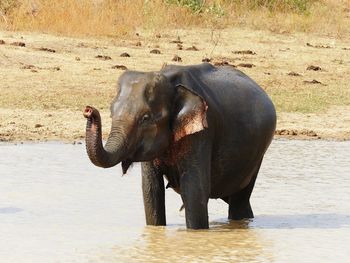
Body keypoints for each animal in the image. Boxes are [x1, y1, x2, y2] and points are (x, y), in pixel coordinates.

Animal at [84, 63, 276, 230]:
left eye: (145, 118)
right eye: (111, 112)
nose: (88, 110)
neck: (169, 80)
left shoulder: (202, 133)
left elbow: (194, 190)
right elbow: (151, 191)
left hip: (257, 154)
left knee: (239, 199)